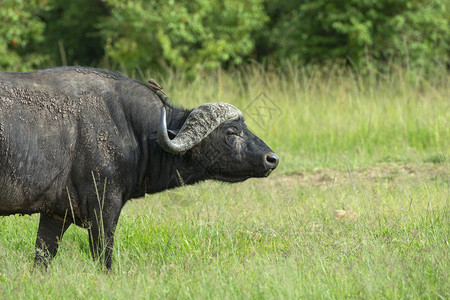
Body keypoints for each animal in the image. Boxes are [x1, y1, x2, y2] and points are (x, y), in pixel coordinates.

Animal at [0, 67, 278, 270]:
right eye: (231, 132)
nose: (272, 159)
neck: (133, 129)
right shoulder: (104, 209)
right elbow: (104, 259)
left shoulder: (56, 214)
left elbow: (42, 257)